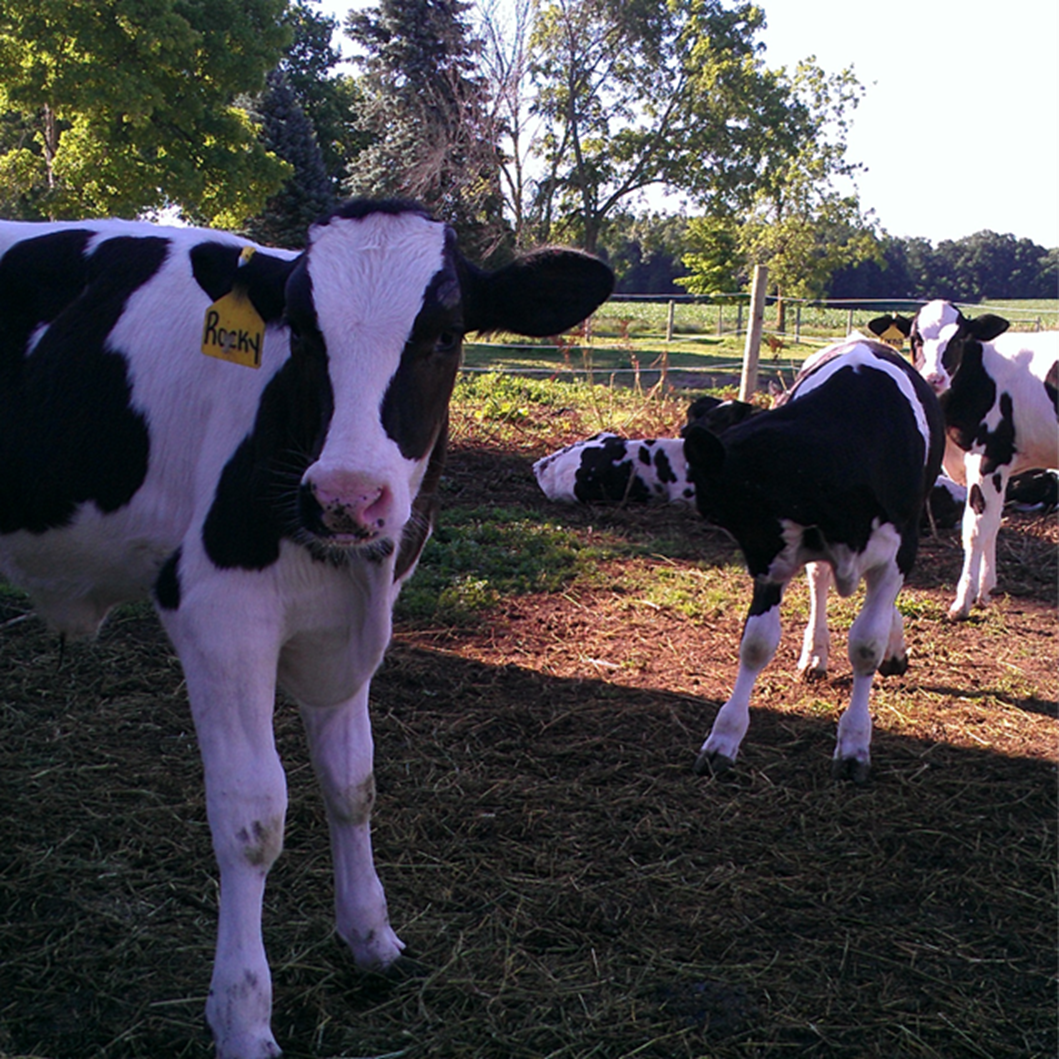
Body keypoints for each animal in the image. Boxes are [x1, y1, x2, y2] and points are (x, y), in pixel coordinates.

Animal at [0, 200, 613, 1059]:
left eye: (443, 334)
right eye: (305, 333)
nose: (346, 498)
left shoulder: (349, 627)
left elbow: (352, 784)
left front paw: (369, 937)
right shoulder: (220, 615)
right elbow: (253, 817)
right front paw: (243, 1015)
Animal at [683, 339, 944, 783]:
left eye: (732, 508)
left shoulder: (897, 548)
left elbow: (867, 644)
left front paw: (854, 745)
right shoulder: (779, 556)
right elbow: (756, 643)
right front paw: (723, 740)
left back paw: (893, 649)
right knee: (820, 582)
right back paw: (815, 654)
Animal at [910, 299, 1059, 618]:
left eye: (958, 340)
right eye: (915, 339)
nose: (933, 379)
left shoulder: (988, 457)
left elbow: (976, 529)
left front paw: (962, 602)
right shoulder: (998, 467)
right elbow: (993, 523)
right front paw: (984, 590)